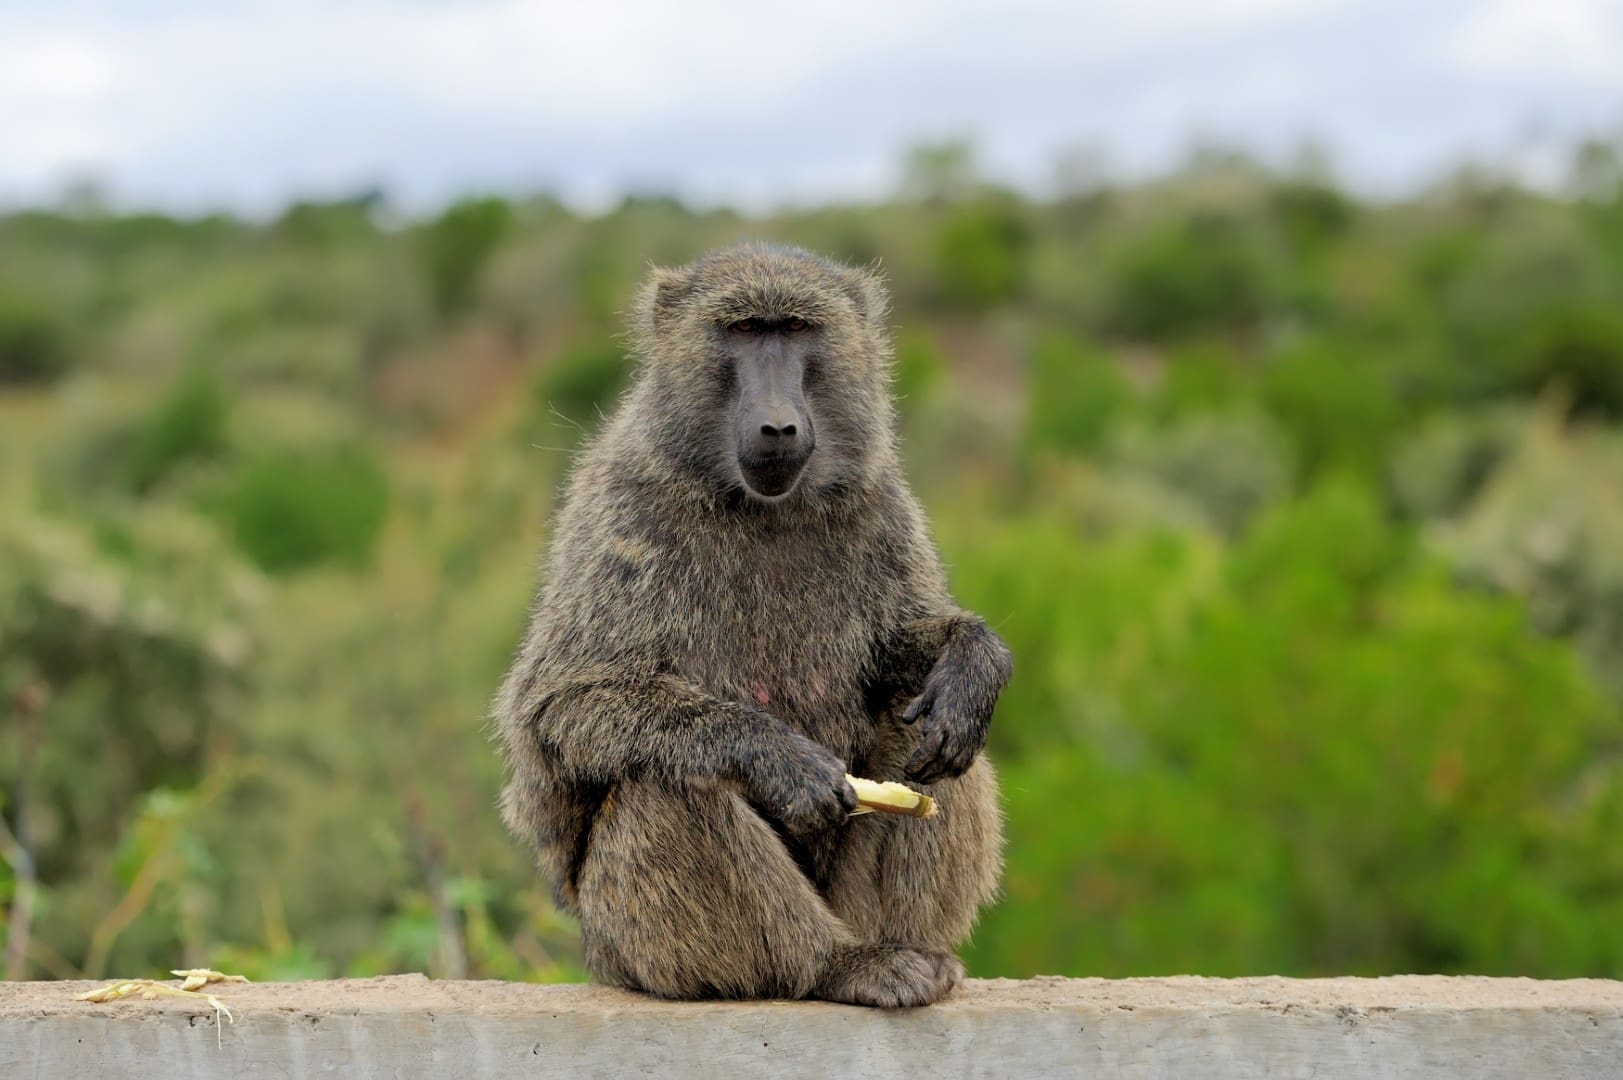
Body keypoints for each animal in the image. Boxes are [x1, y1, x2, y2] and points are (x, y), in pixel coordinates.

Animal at [493, 244, 1012, 1008]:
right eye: (742, 332)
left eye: (794, 329)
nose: (777, 425)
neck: (761, 506)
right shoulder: (622, 507)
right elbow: (560, 703)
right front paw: (777, 758)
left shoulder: (879, 499)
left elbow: (900, 650)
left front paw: (971, 663)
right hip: (632, 946)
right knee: (671, 780)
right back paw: (836, 965)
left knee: (927, 736)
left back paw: (911, 951)